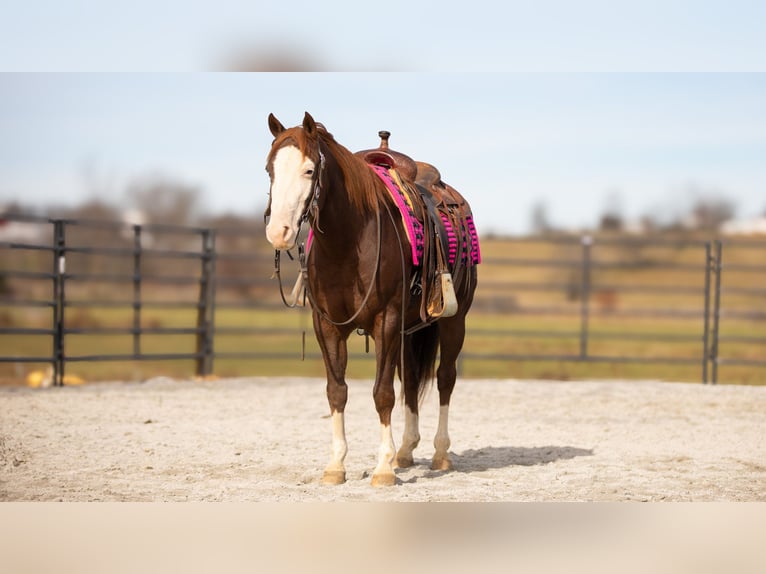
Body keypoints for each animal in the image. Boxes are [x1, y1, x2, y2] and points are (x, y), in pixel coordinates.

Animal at [266, 113, 480, 490]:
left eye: (309, 170)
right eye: (269, 170)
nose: (279, 232)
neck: (347, 243)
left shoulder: (387, 321)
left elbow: (383, 394)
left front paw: (382, 470)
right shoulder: (327, 327)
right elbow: (337, 391)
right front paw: (336, 465)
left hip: (454, 321)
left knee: (445, 378)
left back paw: (439, 454)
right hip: (410, 331)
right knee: (411, 380)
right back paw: (405, 452)